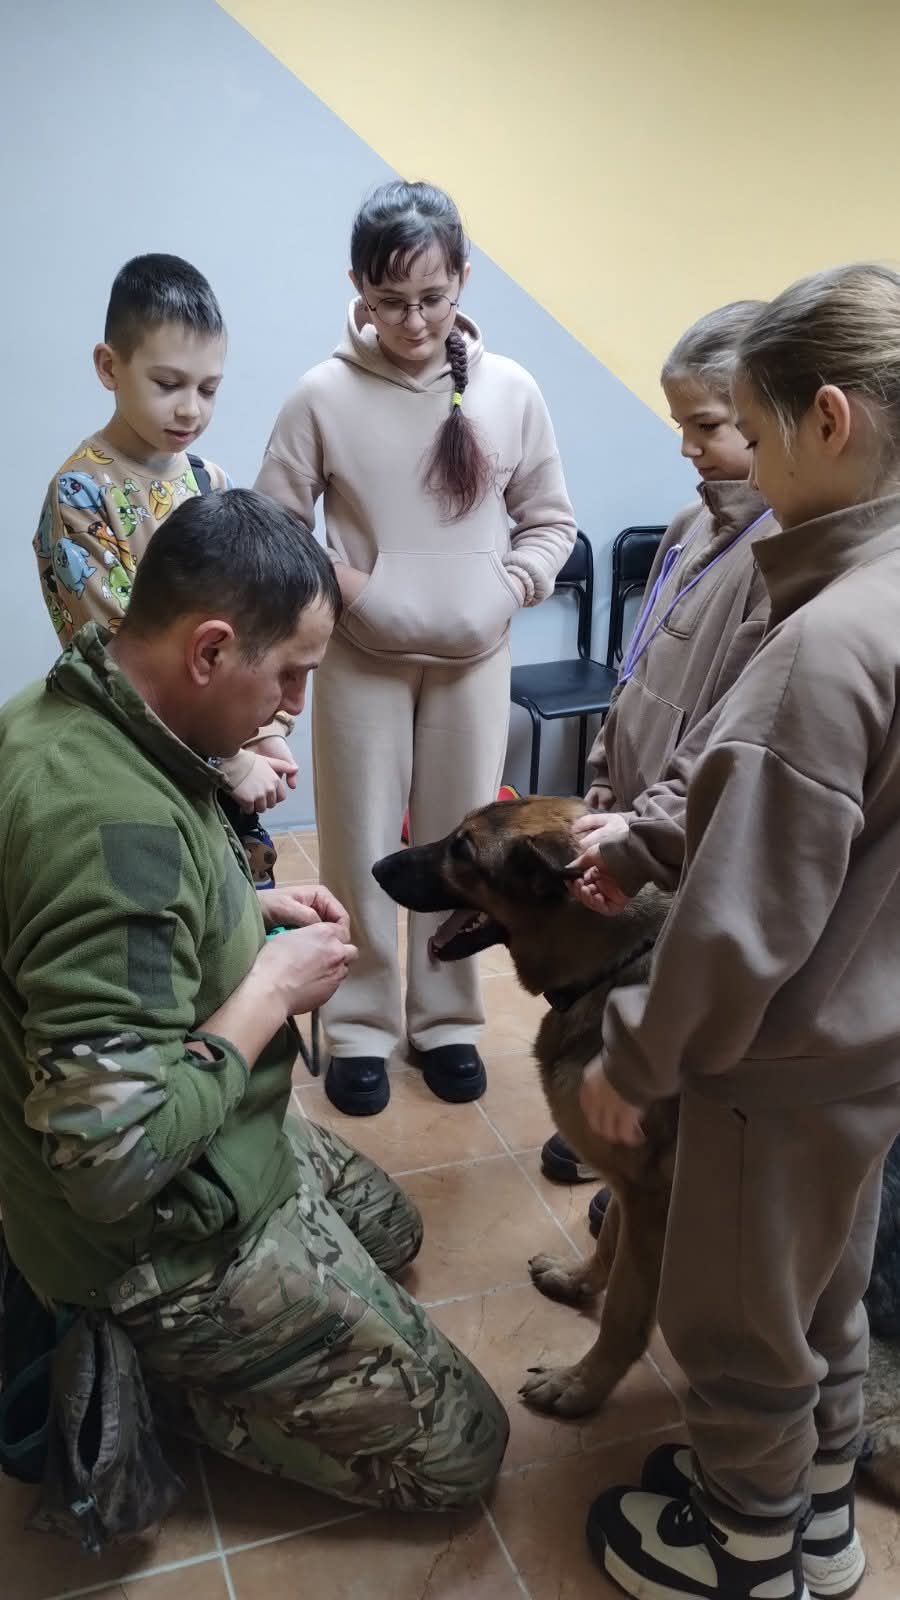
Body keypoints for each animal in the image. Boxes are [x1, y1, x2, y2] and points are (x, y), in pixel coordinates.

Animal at [373, 792, 900, 1498]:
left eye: (462, 850)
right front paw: (577, 1281)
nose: (376, 867)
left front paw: (581, 1386)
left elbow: (625, 1311)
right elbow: (609, 1245)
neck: (612, 966)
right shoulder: (632, 1190)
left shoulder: (655, 1202)